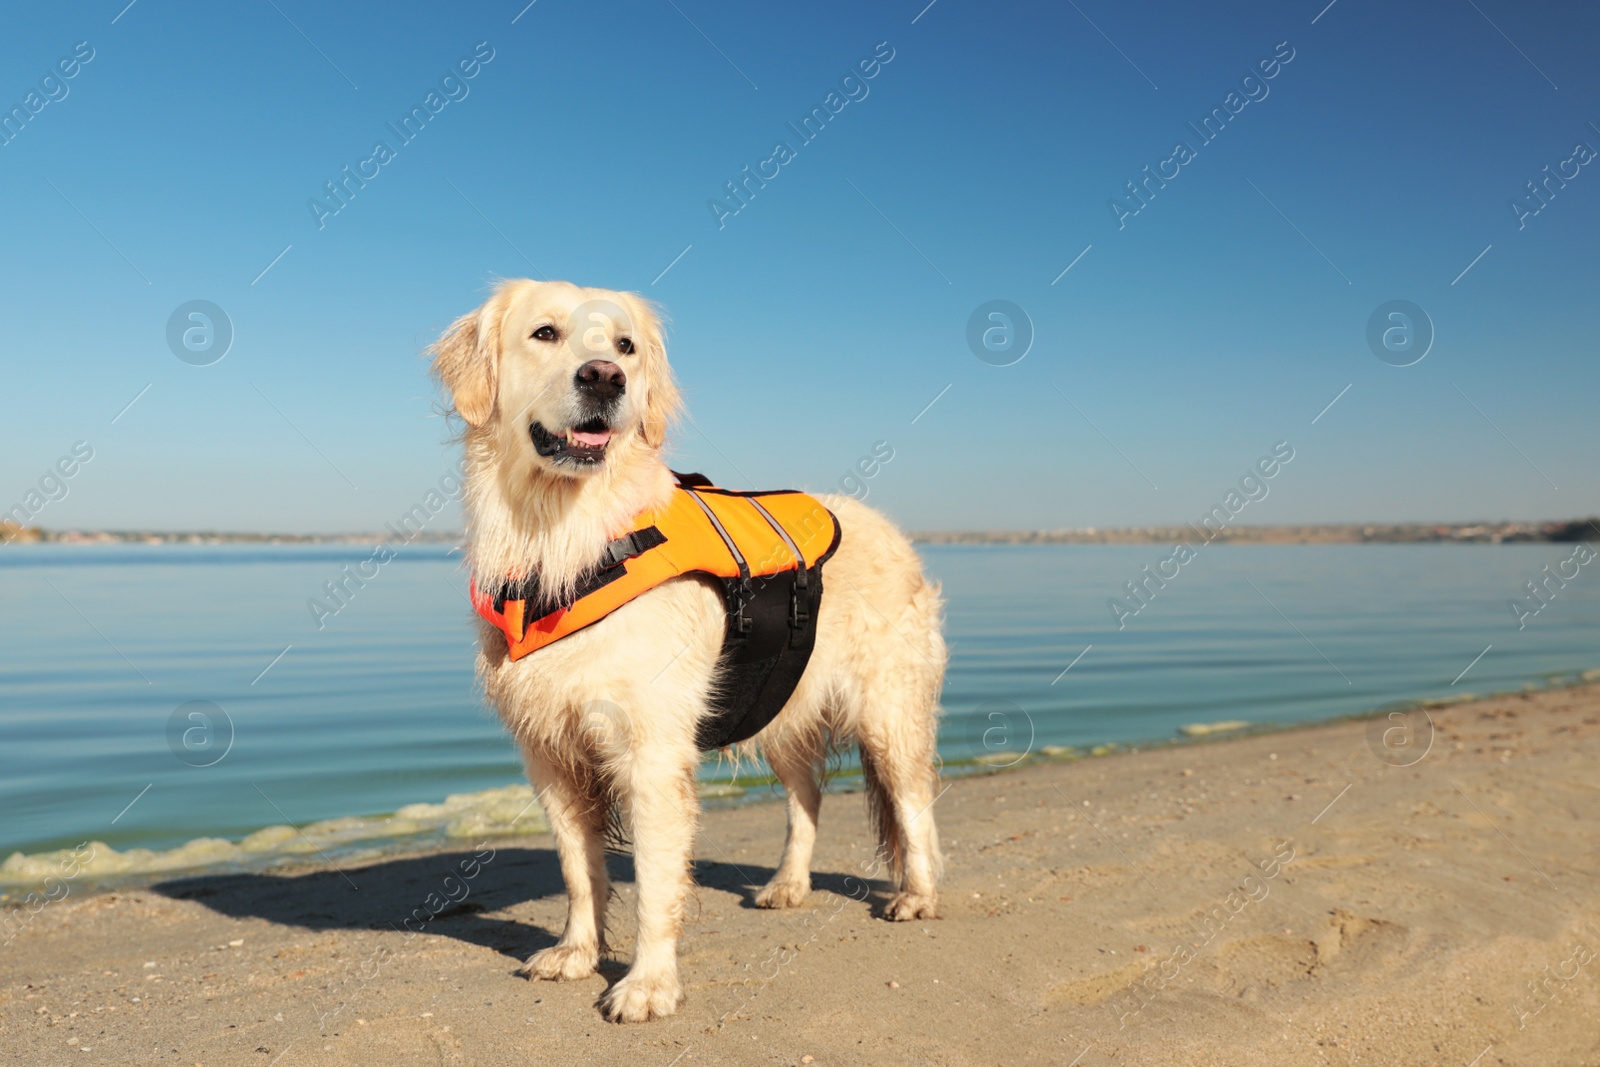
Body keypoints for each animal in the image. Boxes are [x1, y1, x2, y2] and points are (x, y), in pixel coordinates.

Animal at [432, 279, 940, 1023]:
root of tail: (894, 530)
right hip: (781, 704)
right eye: (545, 333)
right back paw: (789, 884)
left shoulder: (651, 752)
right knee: (807, 797)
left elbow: (653, 880)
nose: (604, 379)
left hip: (889, 712)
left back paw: (919, 894)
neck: (569, 539)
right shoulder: (551, 753)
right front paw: (577, 953)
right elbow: (578, 869)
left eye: (625, 347)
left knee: (913, 803)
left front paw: (647, 984)